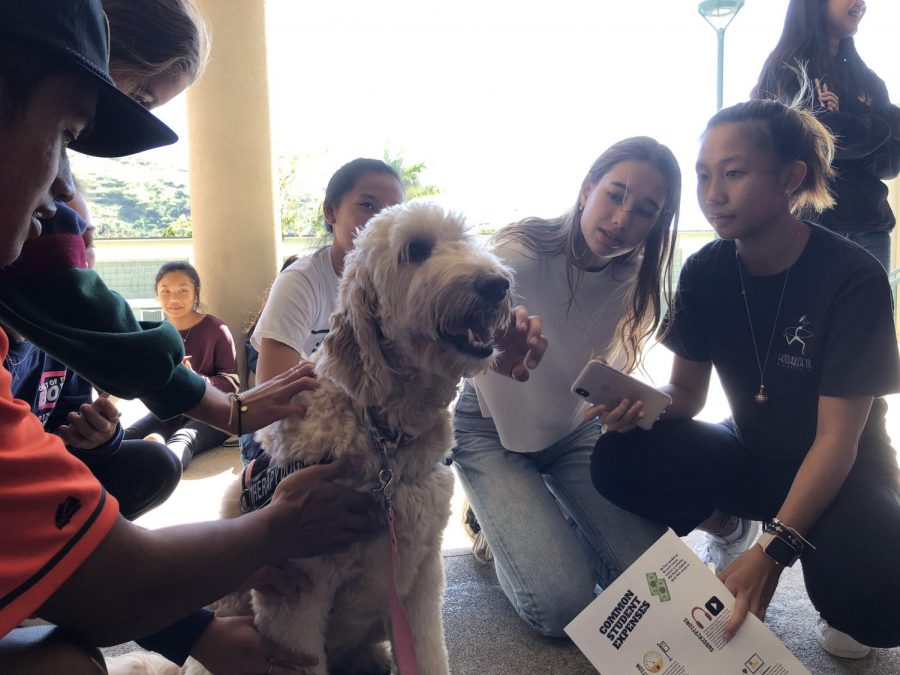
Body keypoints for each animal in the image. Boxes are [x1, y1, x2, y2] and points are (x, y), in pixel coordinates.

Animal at [202, 201, 512, 675]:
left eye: (463, 240)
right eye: (416, 249)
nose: (499, 284)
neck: (382, 434)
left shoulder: (422, 575)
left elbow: (428, 653)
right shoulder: (295, 598)